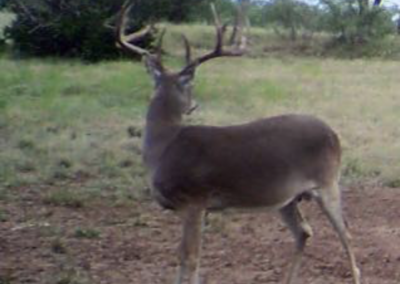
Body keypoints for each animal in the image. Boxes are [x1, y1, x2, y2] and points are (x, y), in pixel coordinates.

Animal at [115, 2, 360, 284]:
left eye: (191, 84)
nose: (193, 105)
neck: (164, 147)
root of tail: (334, 133)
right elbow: (187, 260)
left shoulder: (195, 199)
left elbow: (190, 259)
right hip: (288, 197)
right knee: (304, 231)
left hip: (328, 181)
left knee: (346, 234)